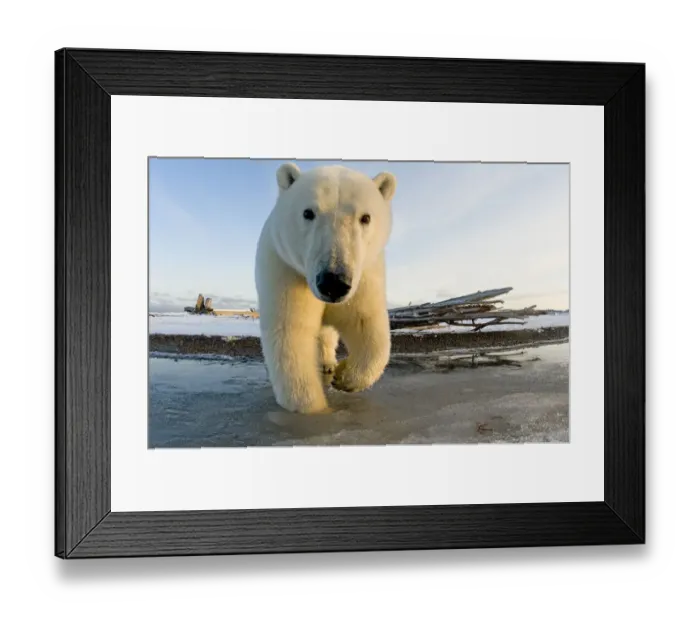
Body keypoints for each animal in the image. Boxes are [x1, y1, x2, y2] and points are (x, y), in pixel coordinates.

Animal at [254, 162, 397, 414]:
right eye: (308, 213)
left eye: (365, 217)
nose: (333, 282)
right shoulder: (286, 271)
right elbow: (290, 335)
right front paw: (315, 410)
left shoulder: (364, 278)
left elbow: (366, 323)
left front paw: (345, 376)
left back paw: (328, 364)